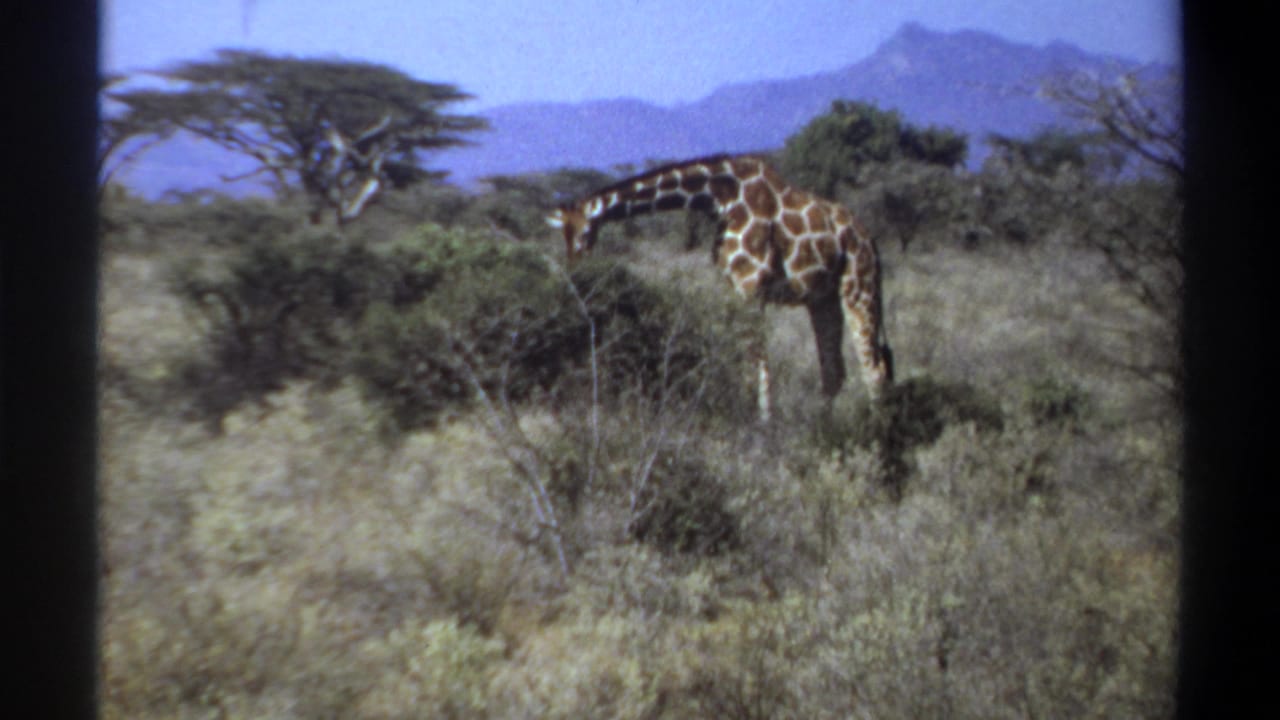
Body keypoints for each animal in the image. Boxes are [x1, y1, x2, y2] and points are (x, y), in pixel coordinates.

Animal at [546, 154, 893, 420]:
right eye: (563, 236)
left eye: (584, 233)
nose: (576, 272)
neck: (718, 197)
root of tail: (870, 240)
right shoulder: (733, 287)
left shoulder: (751, 285)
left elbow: (758, 362)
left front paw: (763, 424)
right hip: (823, 299)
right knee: (835, 372)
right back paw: (825, 427)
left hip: (859, 287)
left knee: (875, 368)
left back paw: (878, 434)